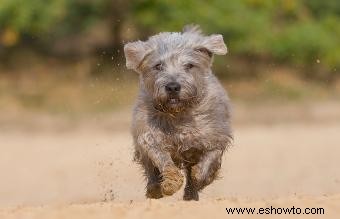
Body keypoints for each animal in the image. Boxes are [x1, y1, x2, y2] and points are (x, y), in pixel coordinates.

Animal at [123, 24, 232, 201]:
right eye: (158, 66)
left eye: (189, 65)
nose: (172, 87)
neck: (179, 114)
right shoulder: (149, 135)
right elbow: (162, 159)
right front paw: (170, 183)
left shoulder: (215, 137)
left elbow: (209, 160)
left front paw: (200, 176)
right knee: (150, 168)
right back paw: (154, 188)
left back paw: (191, 193)